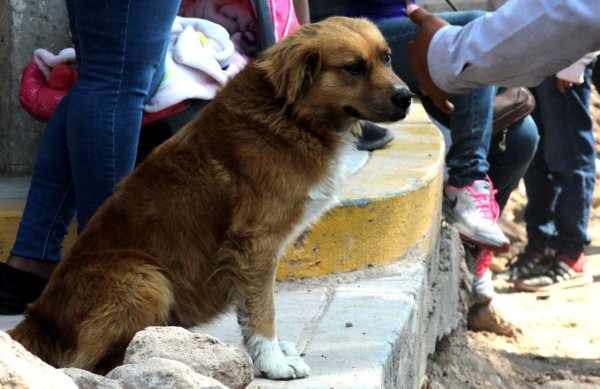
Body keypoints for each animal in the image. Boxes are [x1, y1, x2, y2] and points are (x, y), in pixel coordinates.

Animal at [9, 17, 412, 378]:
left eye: (387, 58)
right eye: (354, 68)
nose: (407, 97)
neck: (294, 115)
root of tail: (38, 318)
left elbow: (253, 307)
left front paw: (269, 353)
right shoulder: (255, 241)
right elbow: (263, 307)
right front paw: (272, 362)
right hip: (146, 278)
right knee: (89, 365)